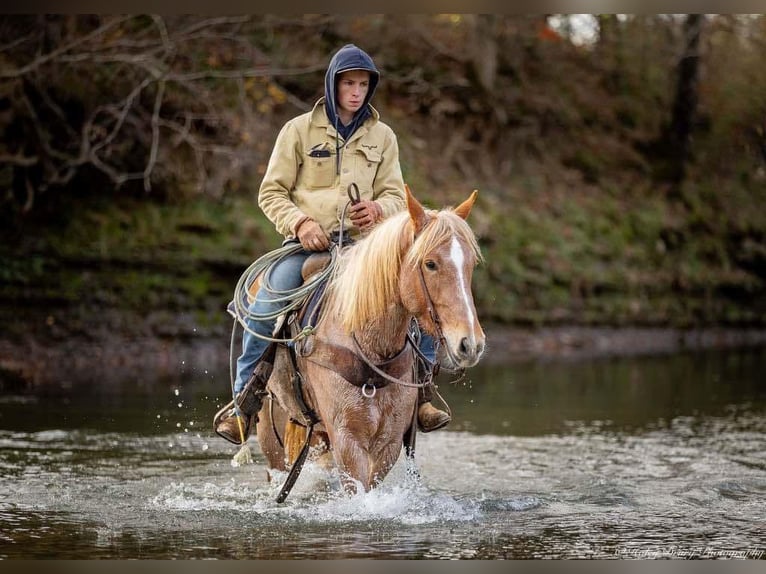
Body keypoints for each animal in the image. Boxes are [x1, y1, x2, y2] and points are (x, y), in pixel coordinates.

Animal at [258, 187, 486, 498]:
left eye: (471, 265)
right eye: (430, 263)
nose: (470, 344)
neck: (370, 347)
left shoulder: (389, 441)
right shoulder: (347, 440)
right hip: (273, 440)